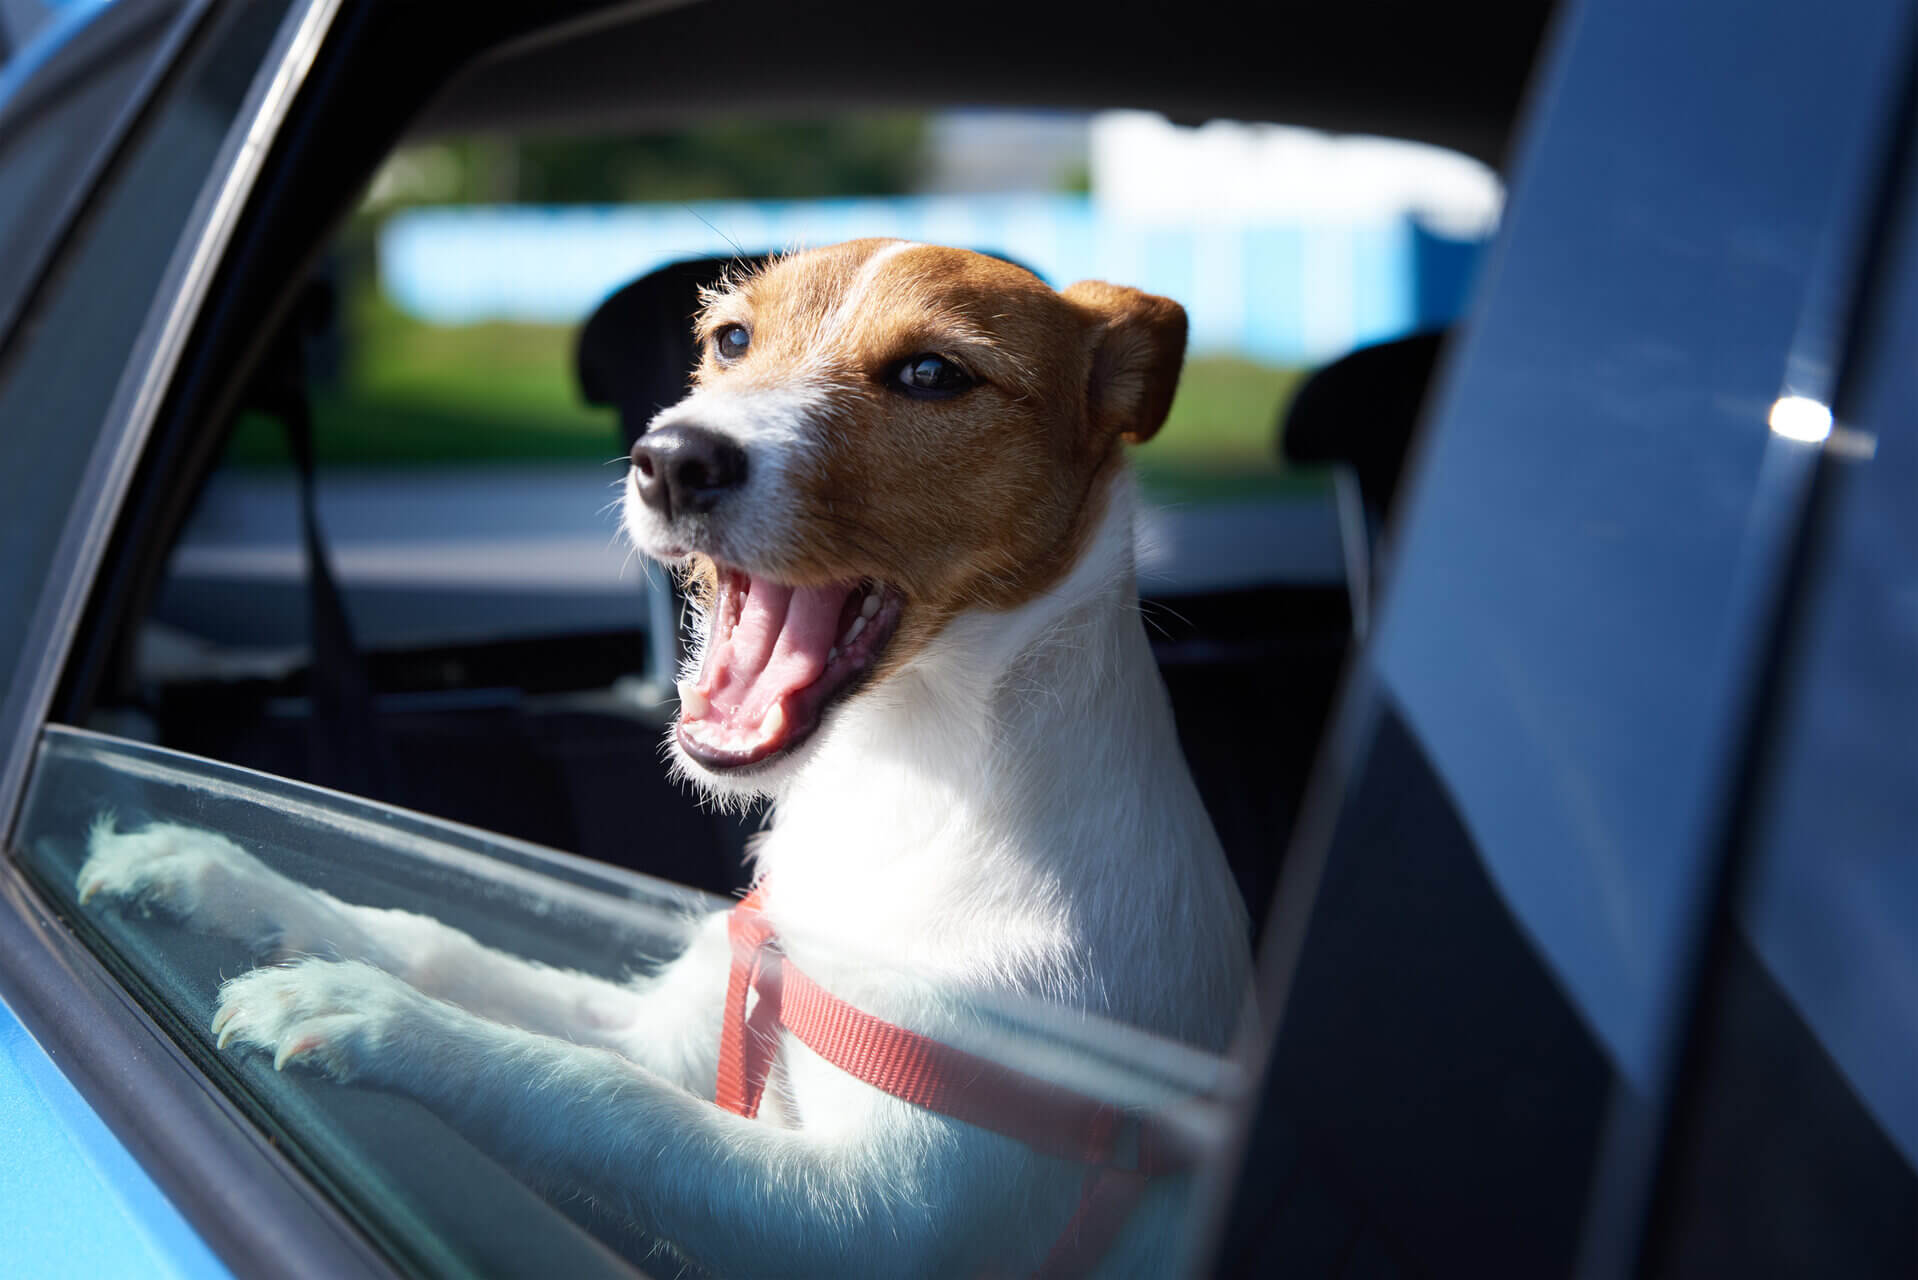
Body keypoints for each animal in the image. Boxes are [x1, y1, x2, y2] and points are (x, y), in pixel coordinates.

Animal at [82, 242, 1258, 1280]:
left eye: (934, 373)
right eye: (731, 339)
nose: (670, 458)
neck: (900, 792)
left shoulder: (873, 1223)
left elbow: (597, 1094)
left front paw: (376, 1019)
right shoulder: (679, 1029)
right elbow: (449, 949)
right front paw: (214, 872)